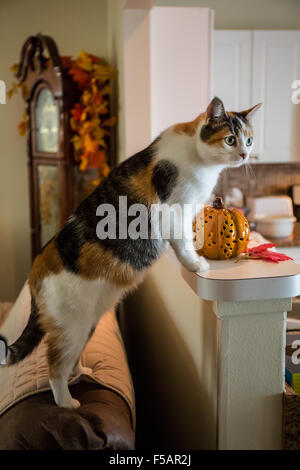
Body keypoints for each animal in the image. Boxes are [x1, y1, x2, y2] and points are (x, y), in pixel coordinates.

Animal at [0, 96, 260, 408]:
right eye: (230, 139)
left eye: (249, 139)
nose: (245, 154)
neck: (199, 159)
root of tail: (35, 269)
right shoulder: (174, 212)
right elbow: (184, 242)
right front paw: (196, 264)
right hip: (72, 327)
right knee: (54, 365)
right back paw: (67, 402)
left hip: (88, 323)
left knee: (70, 360)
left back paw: (83, 373)